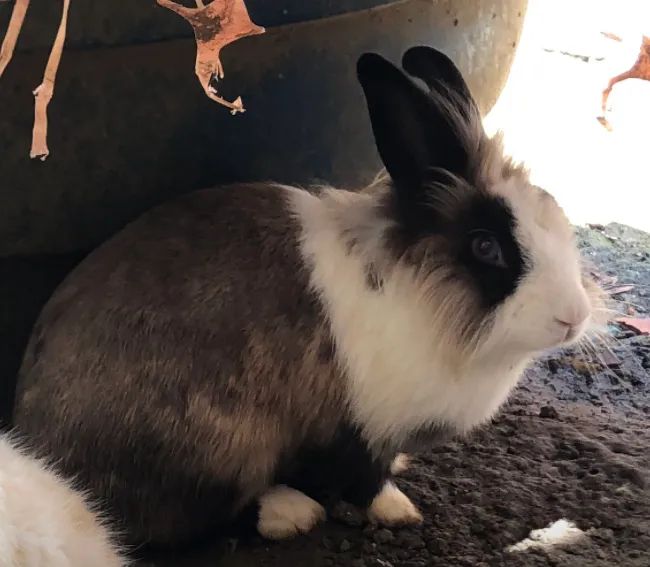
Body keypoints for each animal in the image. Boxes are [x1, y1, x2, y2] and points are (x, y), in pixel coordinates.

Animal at [10, 46, 606, 553]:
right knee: (190, 517)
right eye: (486, 247)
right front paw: (397, 508)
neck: (424, 291)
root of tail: (39, 445)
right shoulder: (357, 427)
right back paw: (292, 512)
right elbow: (362, 478)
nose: (572, 318)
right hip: (221, 446)